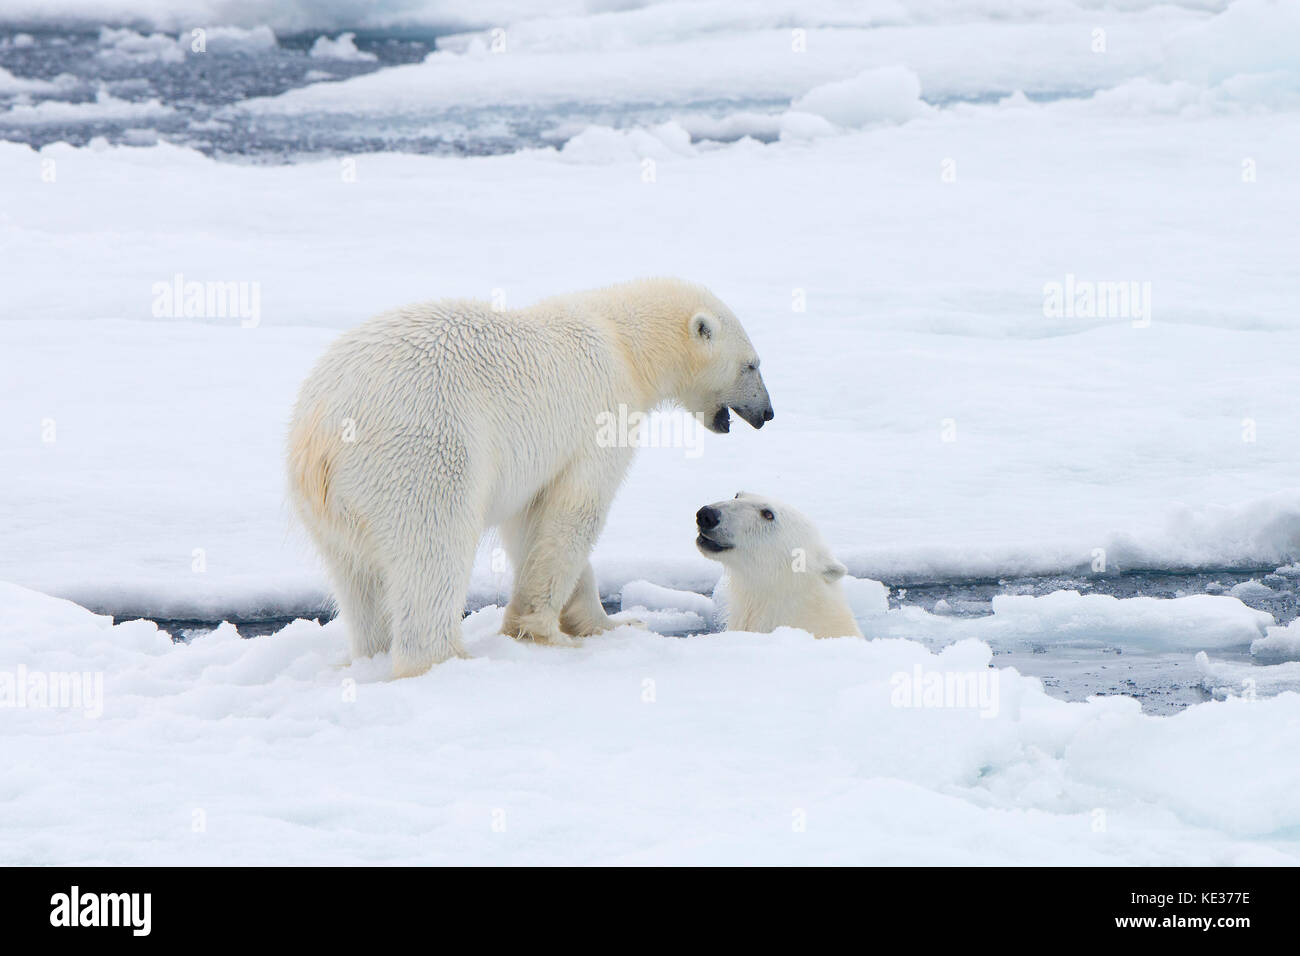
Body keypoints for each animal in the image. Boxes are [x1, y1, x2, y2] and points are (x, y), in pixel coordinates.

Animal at [288, 278, 764, 681]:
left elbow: (530, 523)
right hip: (423, 455)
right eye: (752, 365)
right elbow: (575, 513)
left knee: (355, 578)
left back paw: (371, 655)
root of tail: (322, 431)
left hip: (328, 505)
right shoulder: (601, 415)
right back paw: (449, 659)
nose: (767, 413)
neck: (625, 343)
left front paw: (610, 622)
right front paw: (546, 633)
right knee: (433, 552)